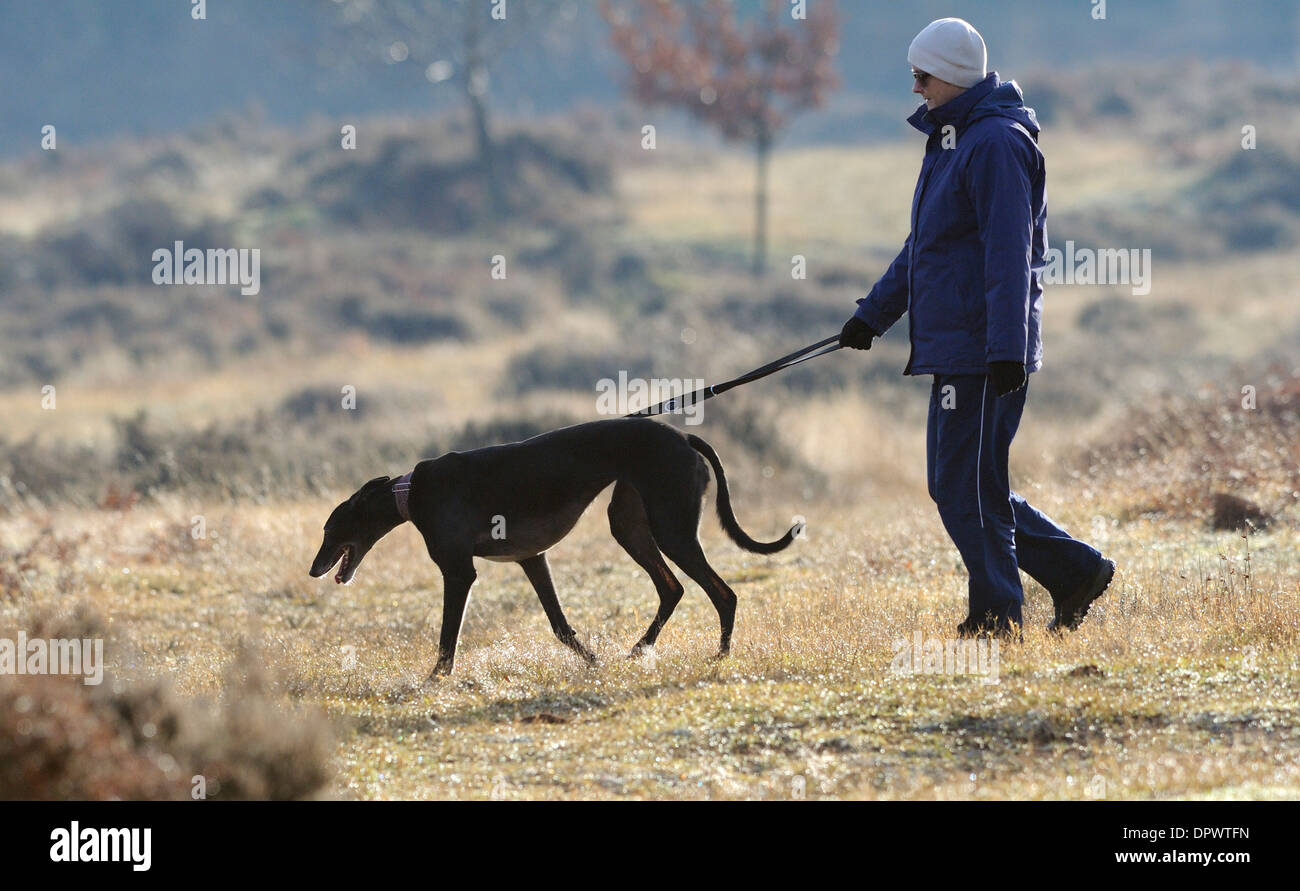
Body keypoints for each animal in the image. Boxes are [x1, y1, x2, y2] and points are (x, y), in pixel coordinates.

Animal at [312, 416, 800, 676]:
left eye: (329, 530)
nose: (314, 569)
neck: (411, 492)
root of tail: (683, 436)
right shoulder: (532, 559)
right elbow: (561, 627)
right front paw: (593, 661)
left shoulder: (459, 571)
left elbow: (448, 638)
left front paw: (435, 679)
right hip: (630, 524)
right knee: (673, 588)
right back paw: (640, 649)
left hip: (672, 529)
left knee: (723, 592)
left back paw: (720, 655)